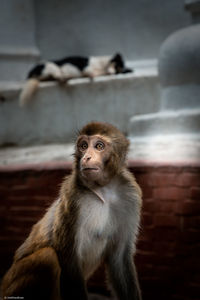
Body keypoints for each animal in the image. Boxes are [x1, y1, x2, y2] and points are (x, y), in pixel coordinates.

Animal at [1, 122, 142, 300]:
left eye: (99, 146)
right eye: (83, 146)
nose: (86, 157)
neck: (103, 190)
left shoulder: (131, 196)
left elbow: (120, 258)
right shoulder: (72, 196)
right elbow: (69, 257)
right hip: (13, 285)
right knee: (47, 257)